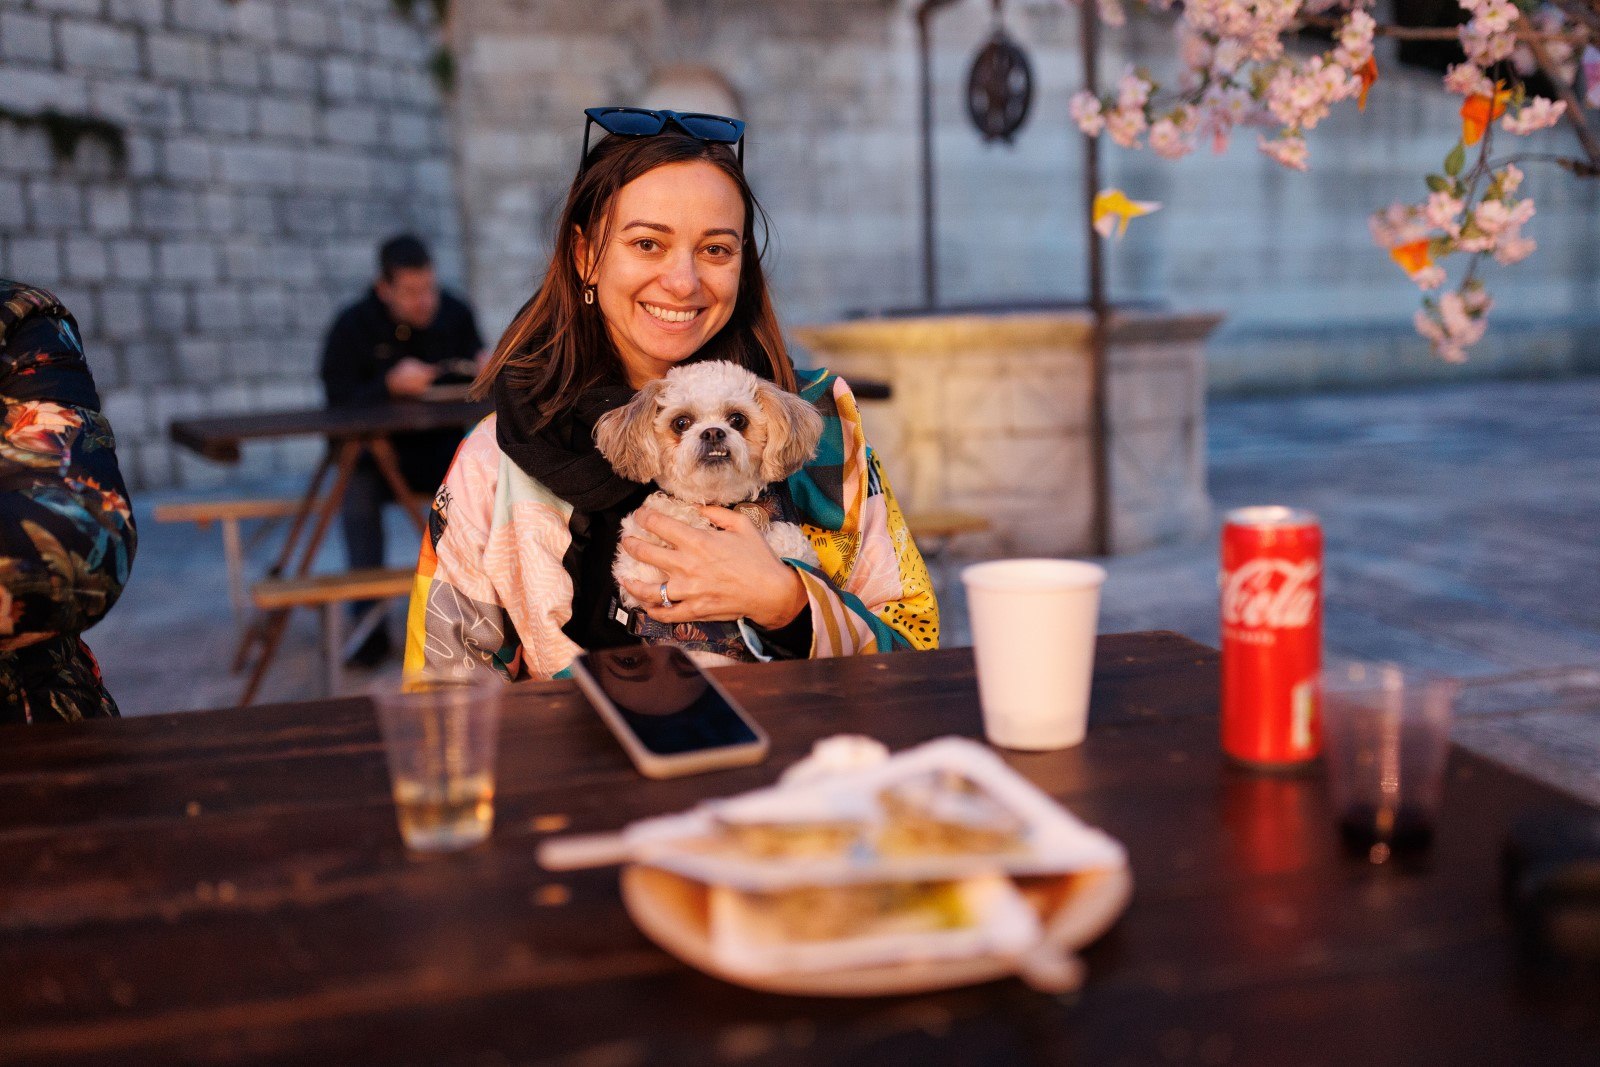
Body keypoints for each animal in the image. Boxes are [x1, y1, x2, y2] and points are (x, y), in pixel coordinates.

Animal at [593, 361, 824, 660]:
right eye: (681, 423)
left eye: (737, 420)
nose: (713, 432)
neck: (716, 500)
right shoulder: (636, 573)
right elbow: (669, 514)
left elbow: (791, 544)